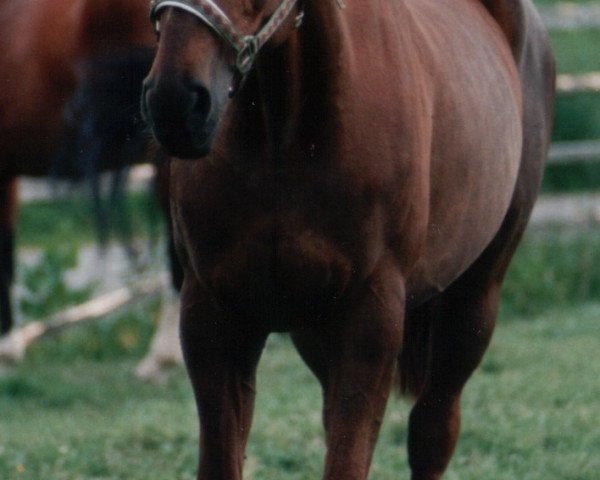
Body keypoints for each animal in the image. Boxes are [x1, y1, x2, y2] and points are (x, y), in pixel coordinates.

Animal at [141, 1, 552, 478]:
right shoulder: (211, 315)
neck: (285, 141)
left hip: (474, 300)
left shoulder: (370, 318)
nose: (174, 103)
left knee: (433, 430)